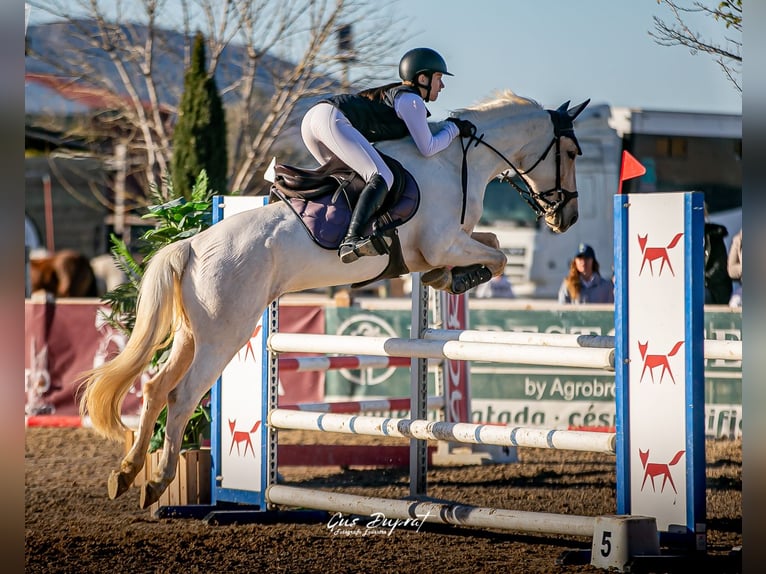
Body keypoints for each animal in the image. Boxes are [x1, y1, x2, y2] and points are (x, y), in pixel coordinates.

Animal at [79, 91, 589, 509]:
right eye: (570, 152)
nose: (567, 218)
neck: (457, 161)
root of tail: (191, 246)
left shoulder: (447, 244)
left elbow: (490, 242)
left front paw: (447, 279)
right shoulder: (445, 242)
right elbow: (497, 256)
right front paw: (462, 277)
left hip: (193, 334)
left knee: (153, 387)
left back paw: (126, 475)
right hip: (226, 334)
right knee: (182, 395)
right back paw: (156, 481)